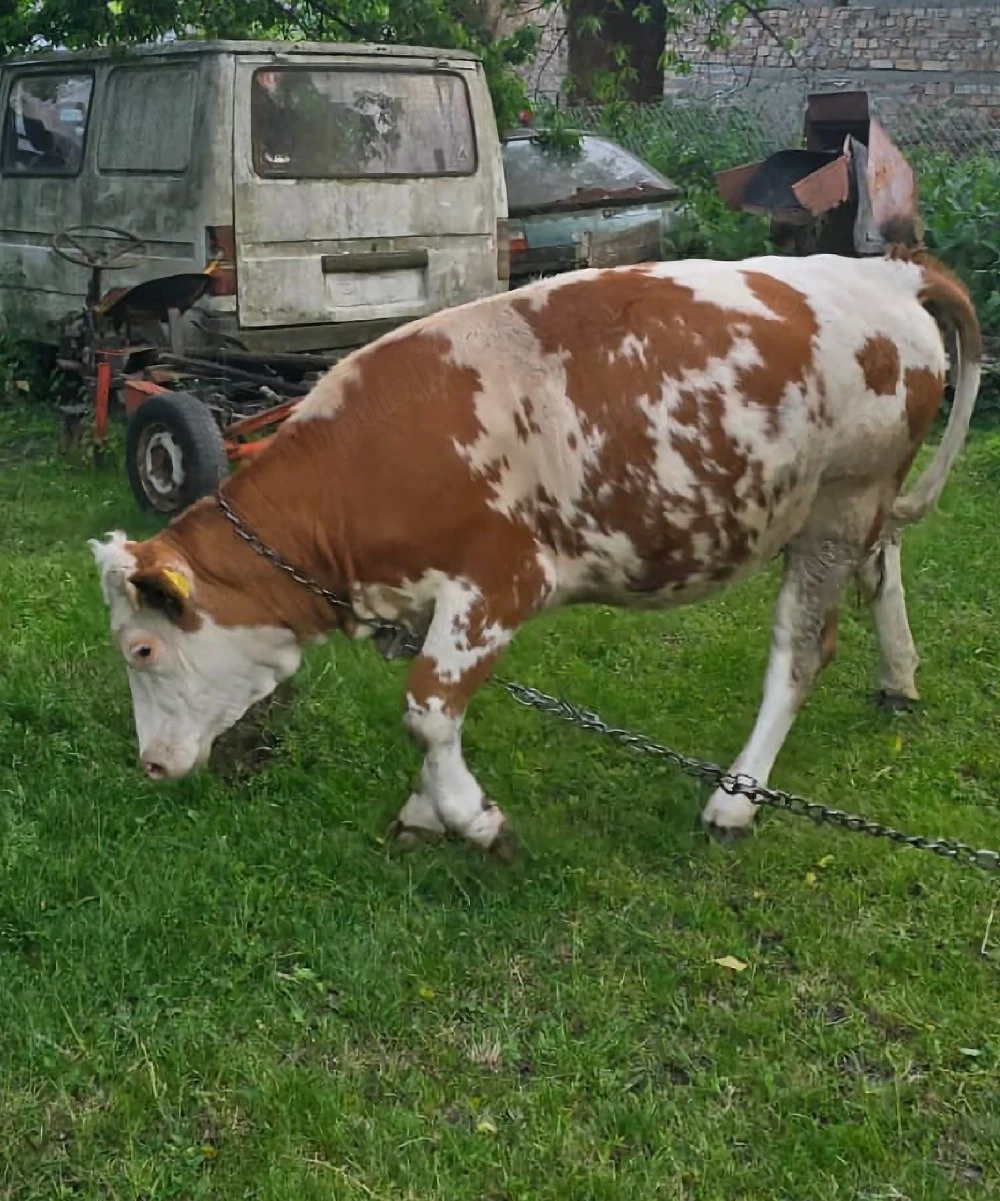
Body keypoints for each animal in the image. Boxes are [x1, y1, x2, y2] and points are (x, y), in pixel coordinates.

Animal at [89, 248, 980, 856]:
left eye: (142, 648)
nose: (150, 766)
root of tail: (886, 270)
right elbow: (436, 715)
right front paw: (429, 809)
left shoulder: (498, 582)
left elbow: (427, 707)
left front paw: (473, 820)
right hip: (858, 502)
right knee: (884, 567)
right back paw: (898, 676)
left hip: (838, 504)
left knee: (800, 651)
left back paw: (735, 799)